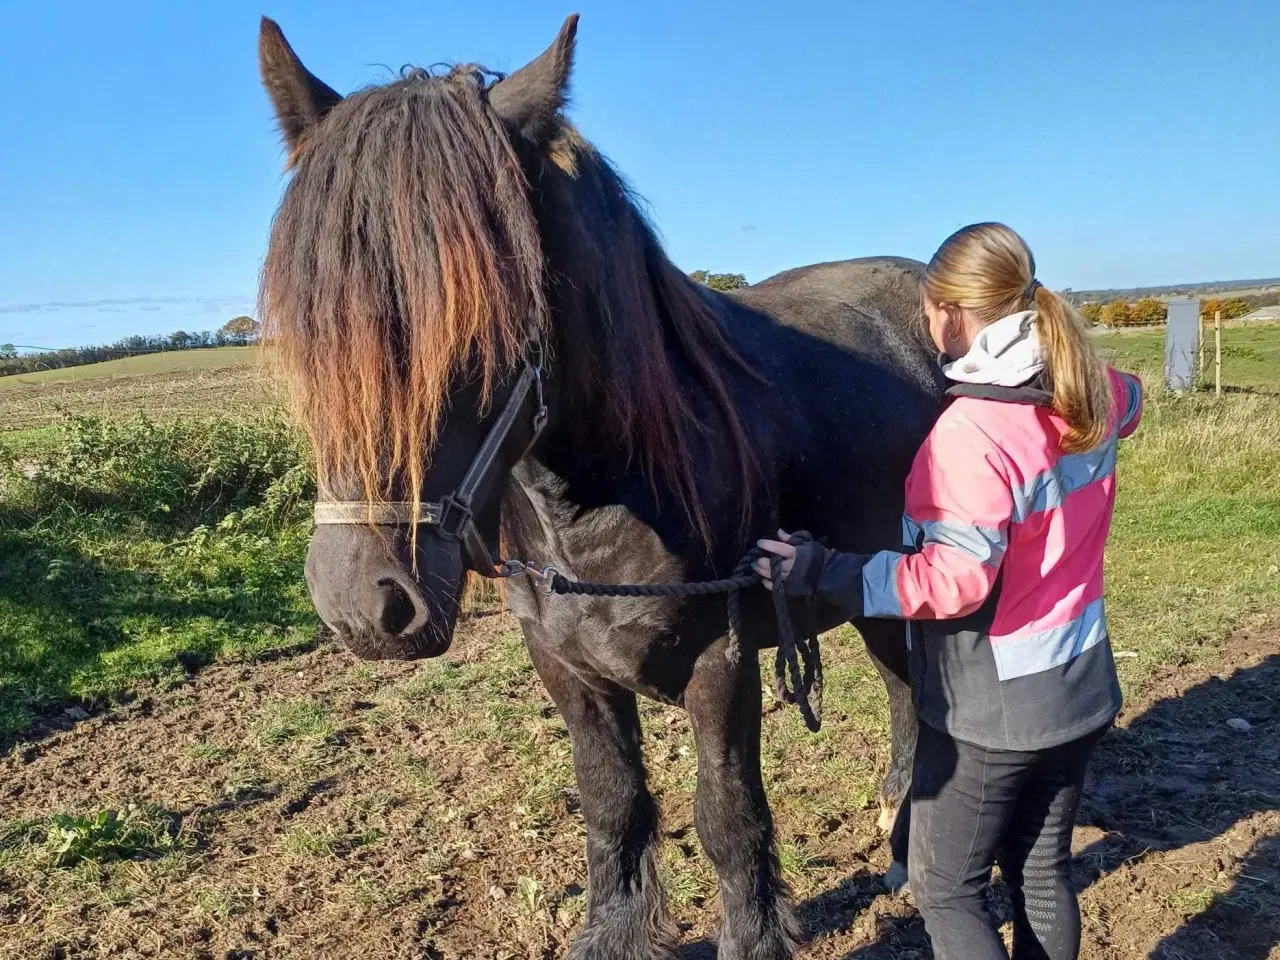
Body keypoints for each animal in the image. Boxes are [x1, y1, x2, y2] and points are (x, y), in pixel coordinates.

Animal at [257, 16, 942, 960]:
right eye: (310, 327)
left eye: (481, 316)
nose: (367, 607)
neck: (595, 504)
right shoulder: (566, 667)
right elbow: (612, 806)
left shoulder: (723, 665)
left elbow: (729, 820)